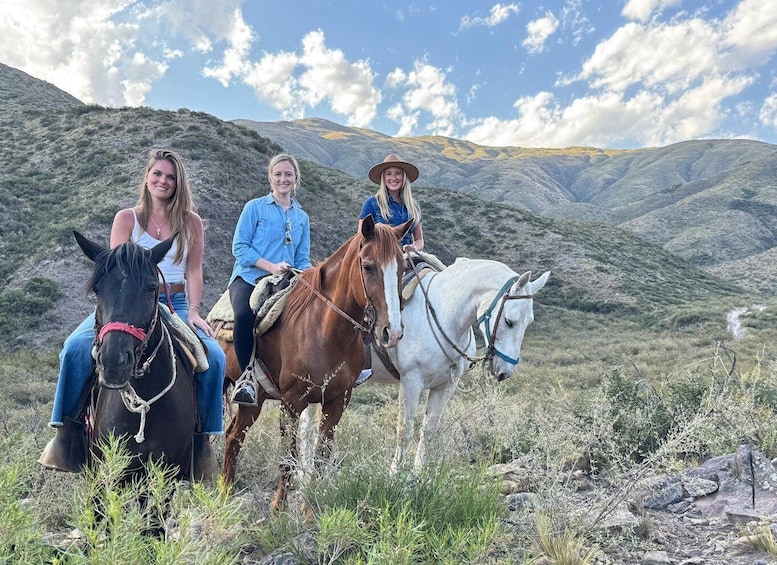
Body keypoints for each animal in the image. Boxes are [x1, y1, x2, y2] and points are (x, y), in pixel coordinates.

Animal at [221, 217, 410, 512]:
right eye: (368, 266)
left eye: (402, 267)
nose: (393, 332)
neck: (327, 330)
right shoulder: (291, 402)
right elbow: (288, 456)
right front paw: (278, 508)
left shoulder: (337, 400)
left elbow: (321, 455)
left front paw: (310, 511)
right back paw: (221, 495)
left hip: (256, 400)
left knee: (233, 436)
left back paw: (225, 494)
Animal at [372, 256, 552, 472]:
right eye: (509, 321)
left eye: (529, 322)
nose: (506, 372)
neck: (442, 313)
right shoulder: (411, 382)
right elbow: (404, 433)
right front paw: (395, 476)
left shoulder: (445, 385)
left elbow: (428, 432)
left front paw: (417, 475)